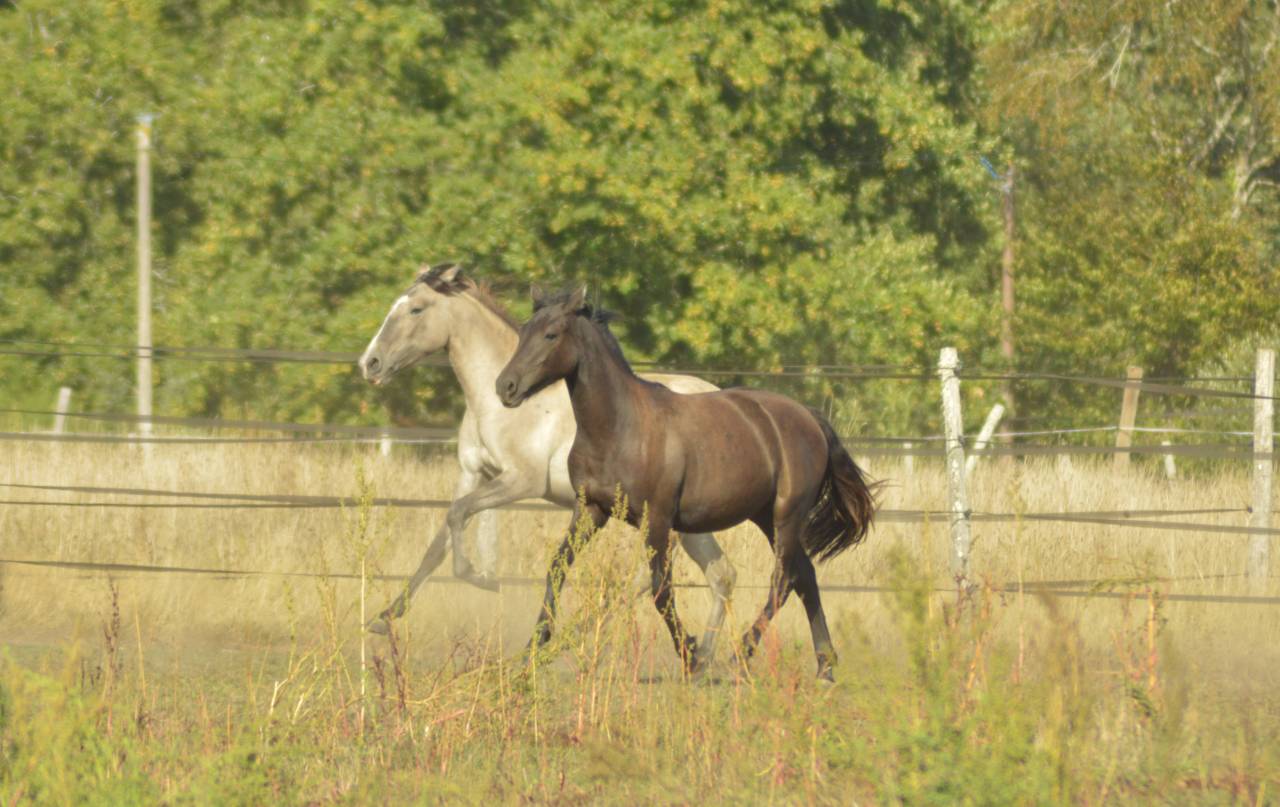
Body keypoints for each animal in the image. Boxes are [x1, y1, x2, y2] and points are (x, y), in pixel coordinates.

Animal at [357, 263, 737, 665]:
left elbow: (459, 516)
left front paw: (479, 577)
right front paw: (385, 617)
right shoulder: (474, 474)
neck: (499, 405)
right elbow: (440, 540)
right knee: (721, 574)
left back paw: (571, 636)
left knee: (645, 579)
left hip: (662, 518)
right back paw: (705, 656)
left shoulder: (521, 481)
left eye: (416, 309)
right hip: (691, 521)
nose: (370, 363)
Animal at [495, 286, 878, 680]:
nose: (505, 386)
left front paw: (691, 655)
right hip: (765, 517)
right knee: (806, 576)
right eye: (524, 331)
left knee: (783, 580)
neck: (619, 428)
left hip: (787, 516)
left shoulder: (658, 519)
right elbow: (557, 568)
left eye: (551, 334)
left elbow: (660, 589)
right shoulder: (591, 509)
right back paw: (824, 667)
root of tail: (810, 417)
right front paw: (528, 656)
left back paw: (739, 654)